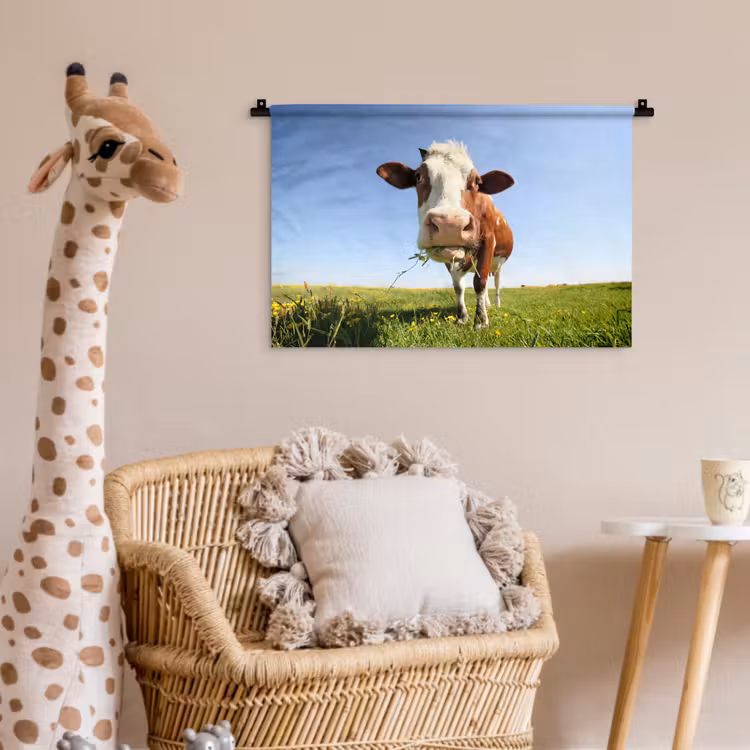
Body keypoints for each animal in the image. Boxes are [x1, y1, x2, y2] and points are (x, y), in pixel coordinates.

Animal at [377, 141, 514, 329]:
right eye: (418, 177)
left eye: (477, 181)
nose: (450, 225)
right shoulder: (449, 255)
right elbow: (458, 286)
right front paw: (463, 317)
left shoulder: (488, 240)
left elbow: (480, 282)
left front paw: (481, 322)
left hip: (499, 264)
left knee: (496, 283)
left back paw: (495, 305)